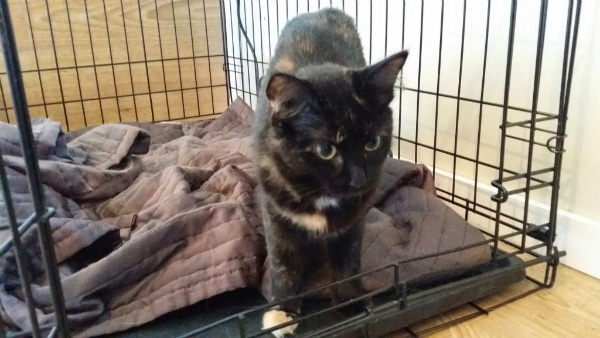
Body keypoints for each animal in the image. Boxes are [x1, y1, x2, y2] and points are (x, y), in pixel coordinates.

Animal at [253, 7, 408, 336]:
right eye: (326, 150)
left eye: (373, 142)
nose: (359, 179)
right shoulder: (274, 211)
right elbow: (283, 261)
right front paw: (283, 311)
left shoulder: (355, 215)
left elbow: (348, 257)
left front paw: (350, 301)